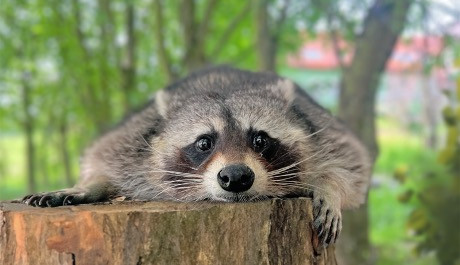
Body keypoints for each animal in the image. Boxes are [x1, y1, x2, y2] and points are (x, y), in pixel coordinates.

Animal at [23, 66, 372, 245]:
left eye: (260, 139)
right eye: (204, 143)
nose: (236, 176)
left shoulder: (322, 129)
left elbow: (351, 160)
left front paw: (329, 187)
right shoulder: (134, 138)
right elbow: (103, 154)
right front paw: (89, 184)